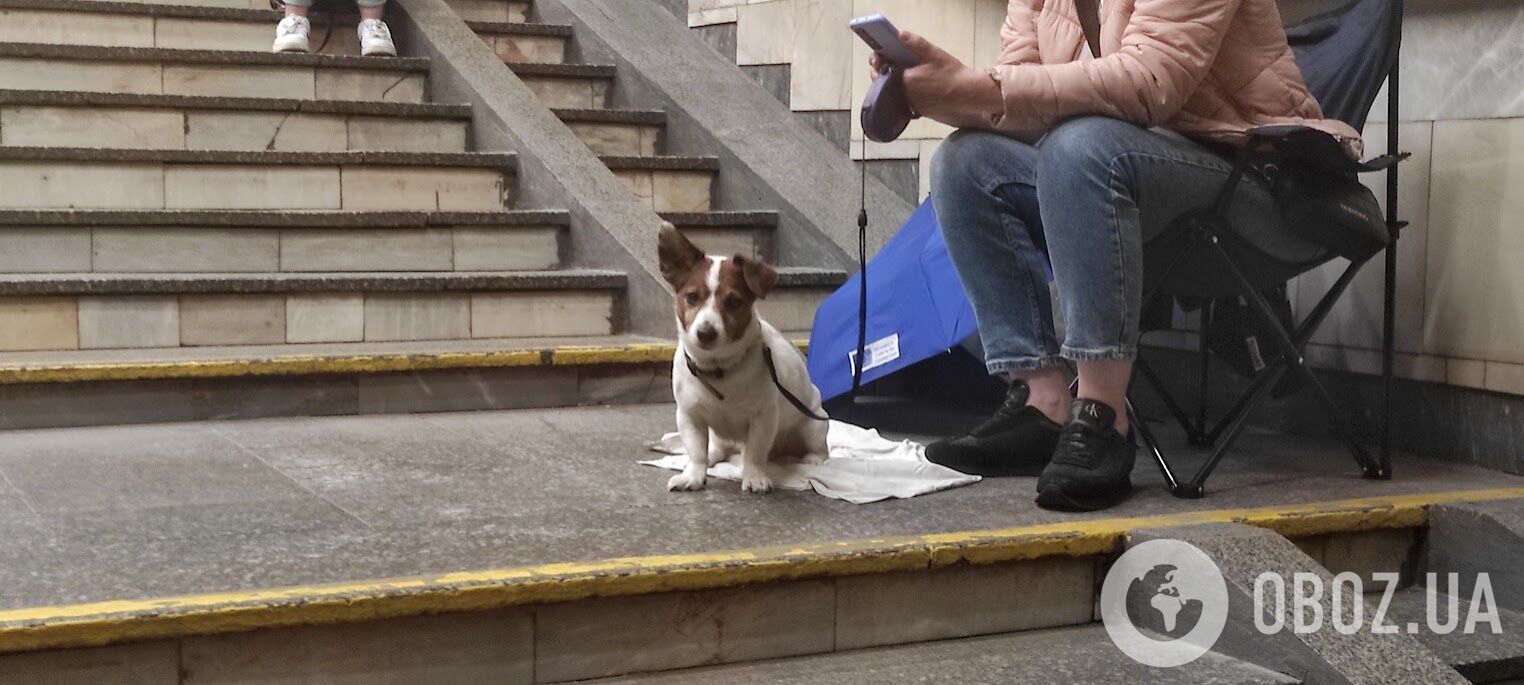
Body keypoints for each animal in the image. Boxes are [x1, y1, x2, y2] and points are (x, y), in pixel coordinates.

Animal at [652, 219, 829, 491]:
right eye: (692, 297)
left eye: (734, 301)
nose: (705, 333)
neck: (718, 370)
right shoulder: (690, 416)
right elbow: (696, 451)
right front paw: (693, 475)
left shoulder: (763, 418)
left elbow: (755, 453)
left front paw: (753, 476)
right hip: (718, 436)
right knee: (716, 449)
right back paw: (714, 456)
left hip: (815, 424)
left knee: (817, 448)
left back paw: (812, 459)